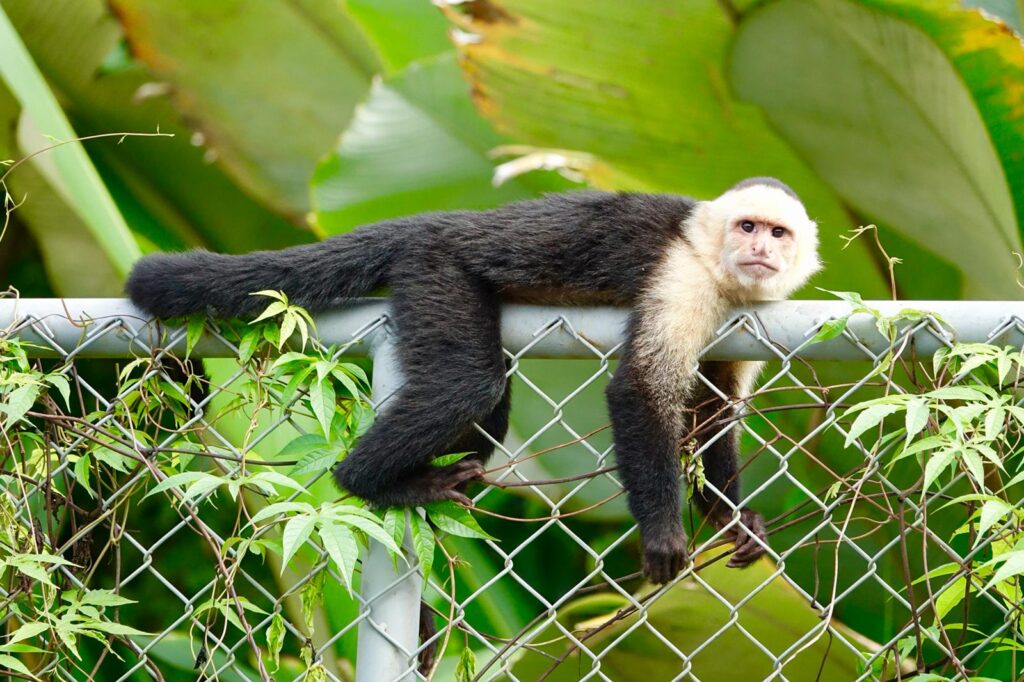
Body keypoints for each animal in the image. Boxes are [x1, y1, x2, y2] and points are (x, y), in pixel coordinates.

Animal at [126, 176, 821, 583]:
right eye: (746, 227)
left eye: (777, 233)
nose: (760, 251)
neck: (720, 273)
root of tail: (439, 221)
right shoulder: (684, 276)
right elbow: (639, 389)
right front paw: (664, 533)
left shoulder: (753, 316)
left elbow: (712, 413)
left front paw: (732, 520)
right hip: (436, 270)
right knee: (469, 384)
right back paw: (371, 481)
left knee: (489, 410)